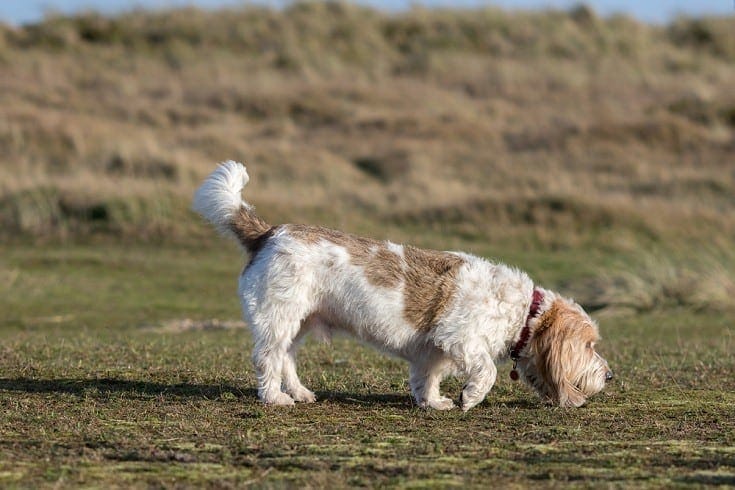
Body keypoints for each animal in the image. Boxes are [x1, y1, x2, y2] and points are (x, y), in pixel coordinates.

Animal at [193, 161, 612, 410]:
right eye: (589, 345)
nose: (610, 375)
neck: (524, 312)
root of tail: (268, 232)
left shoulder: (434, 350)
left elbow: (427, 377)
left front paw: (434, 402)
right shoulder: (462, 338)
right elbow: (487, 372)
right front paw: (470, 397)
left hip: (298, 323)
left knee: (286, 359)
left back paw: (298, 392)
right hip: (278, 320)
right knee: (268, 358)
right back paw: (274, 398)